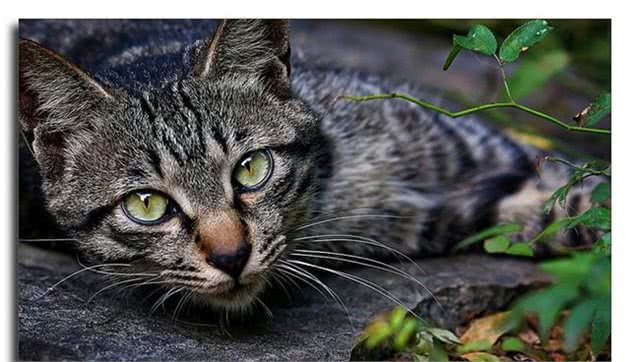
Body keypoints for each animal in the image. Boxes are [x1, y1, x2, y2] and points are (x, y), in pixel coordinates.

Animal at [18, 18, 604, 310]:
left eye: (251, 168)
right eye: (147, 205)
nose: (231, 257)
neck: (332, 191)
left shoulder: (484, 146)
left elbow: (584, 195)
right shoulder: (453, 219)